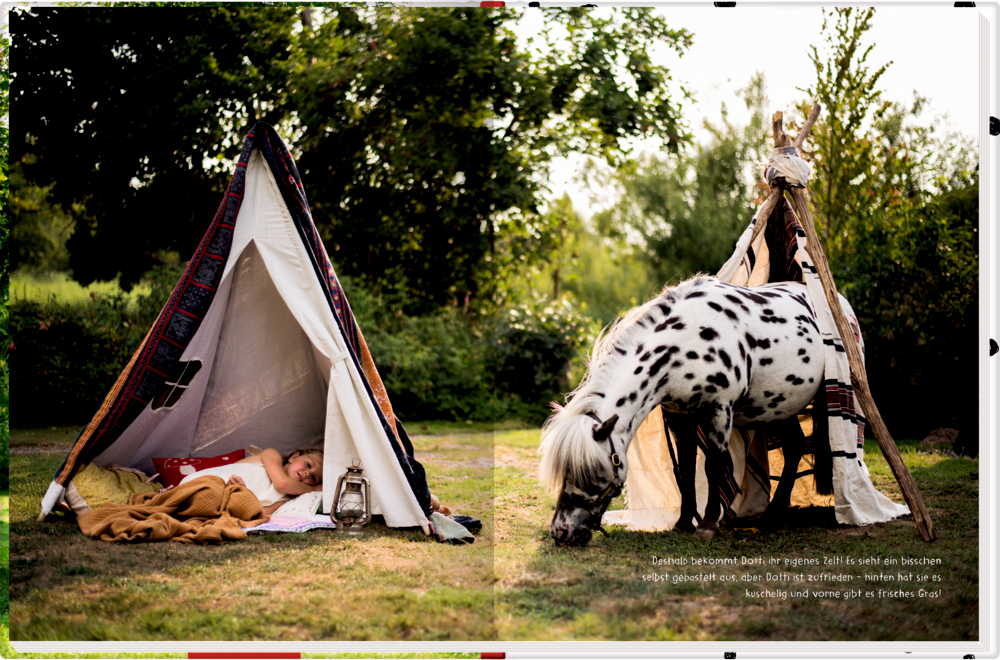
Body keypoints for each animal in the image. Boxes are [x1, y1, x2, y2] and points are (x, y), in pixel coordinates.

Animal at [540, 274, 860, 548]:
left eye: (592, 472)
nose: (562, 533)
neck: (684, 343)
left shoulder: (719, 411)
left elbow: (713, 466)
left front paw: (706, 526)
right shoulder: (678, 417)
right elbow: (686, 467)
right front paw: (683, 522)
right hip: (782, 405)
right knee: (794, 445)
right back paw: (775, 510)